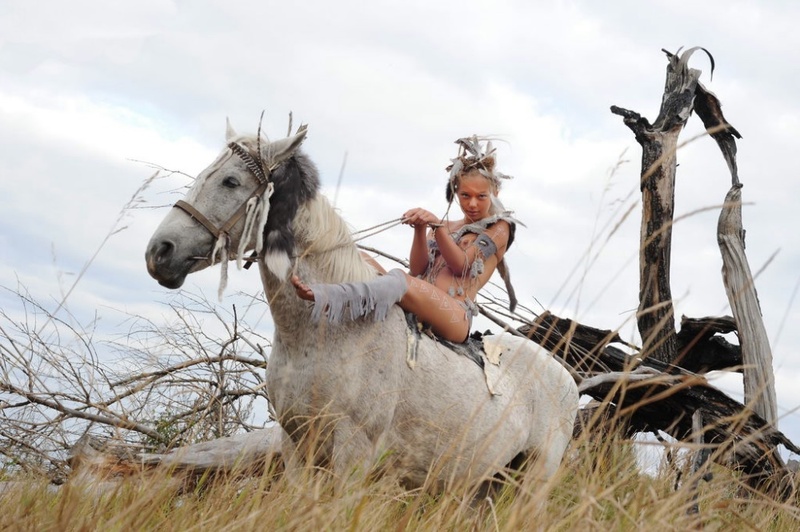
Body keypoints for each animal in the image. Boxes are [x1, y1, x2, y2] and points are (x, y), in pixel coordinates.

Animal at [144, 121, 580, 494]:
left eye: (231, 181)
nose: (159, 251)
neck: (326, 331)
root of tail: (567, 376)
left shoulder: (353, 453)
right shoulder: (296, 445)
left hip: (533, 482)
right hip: (483, 484)